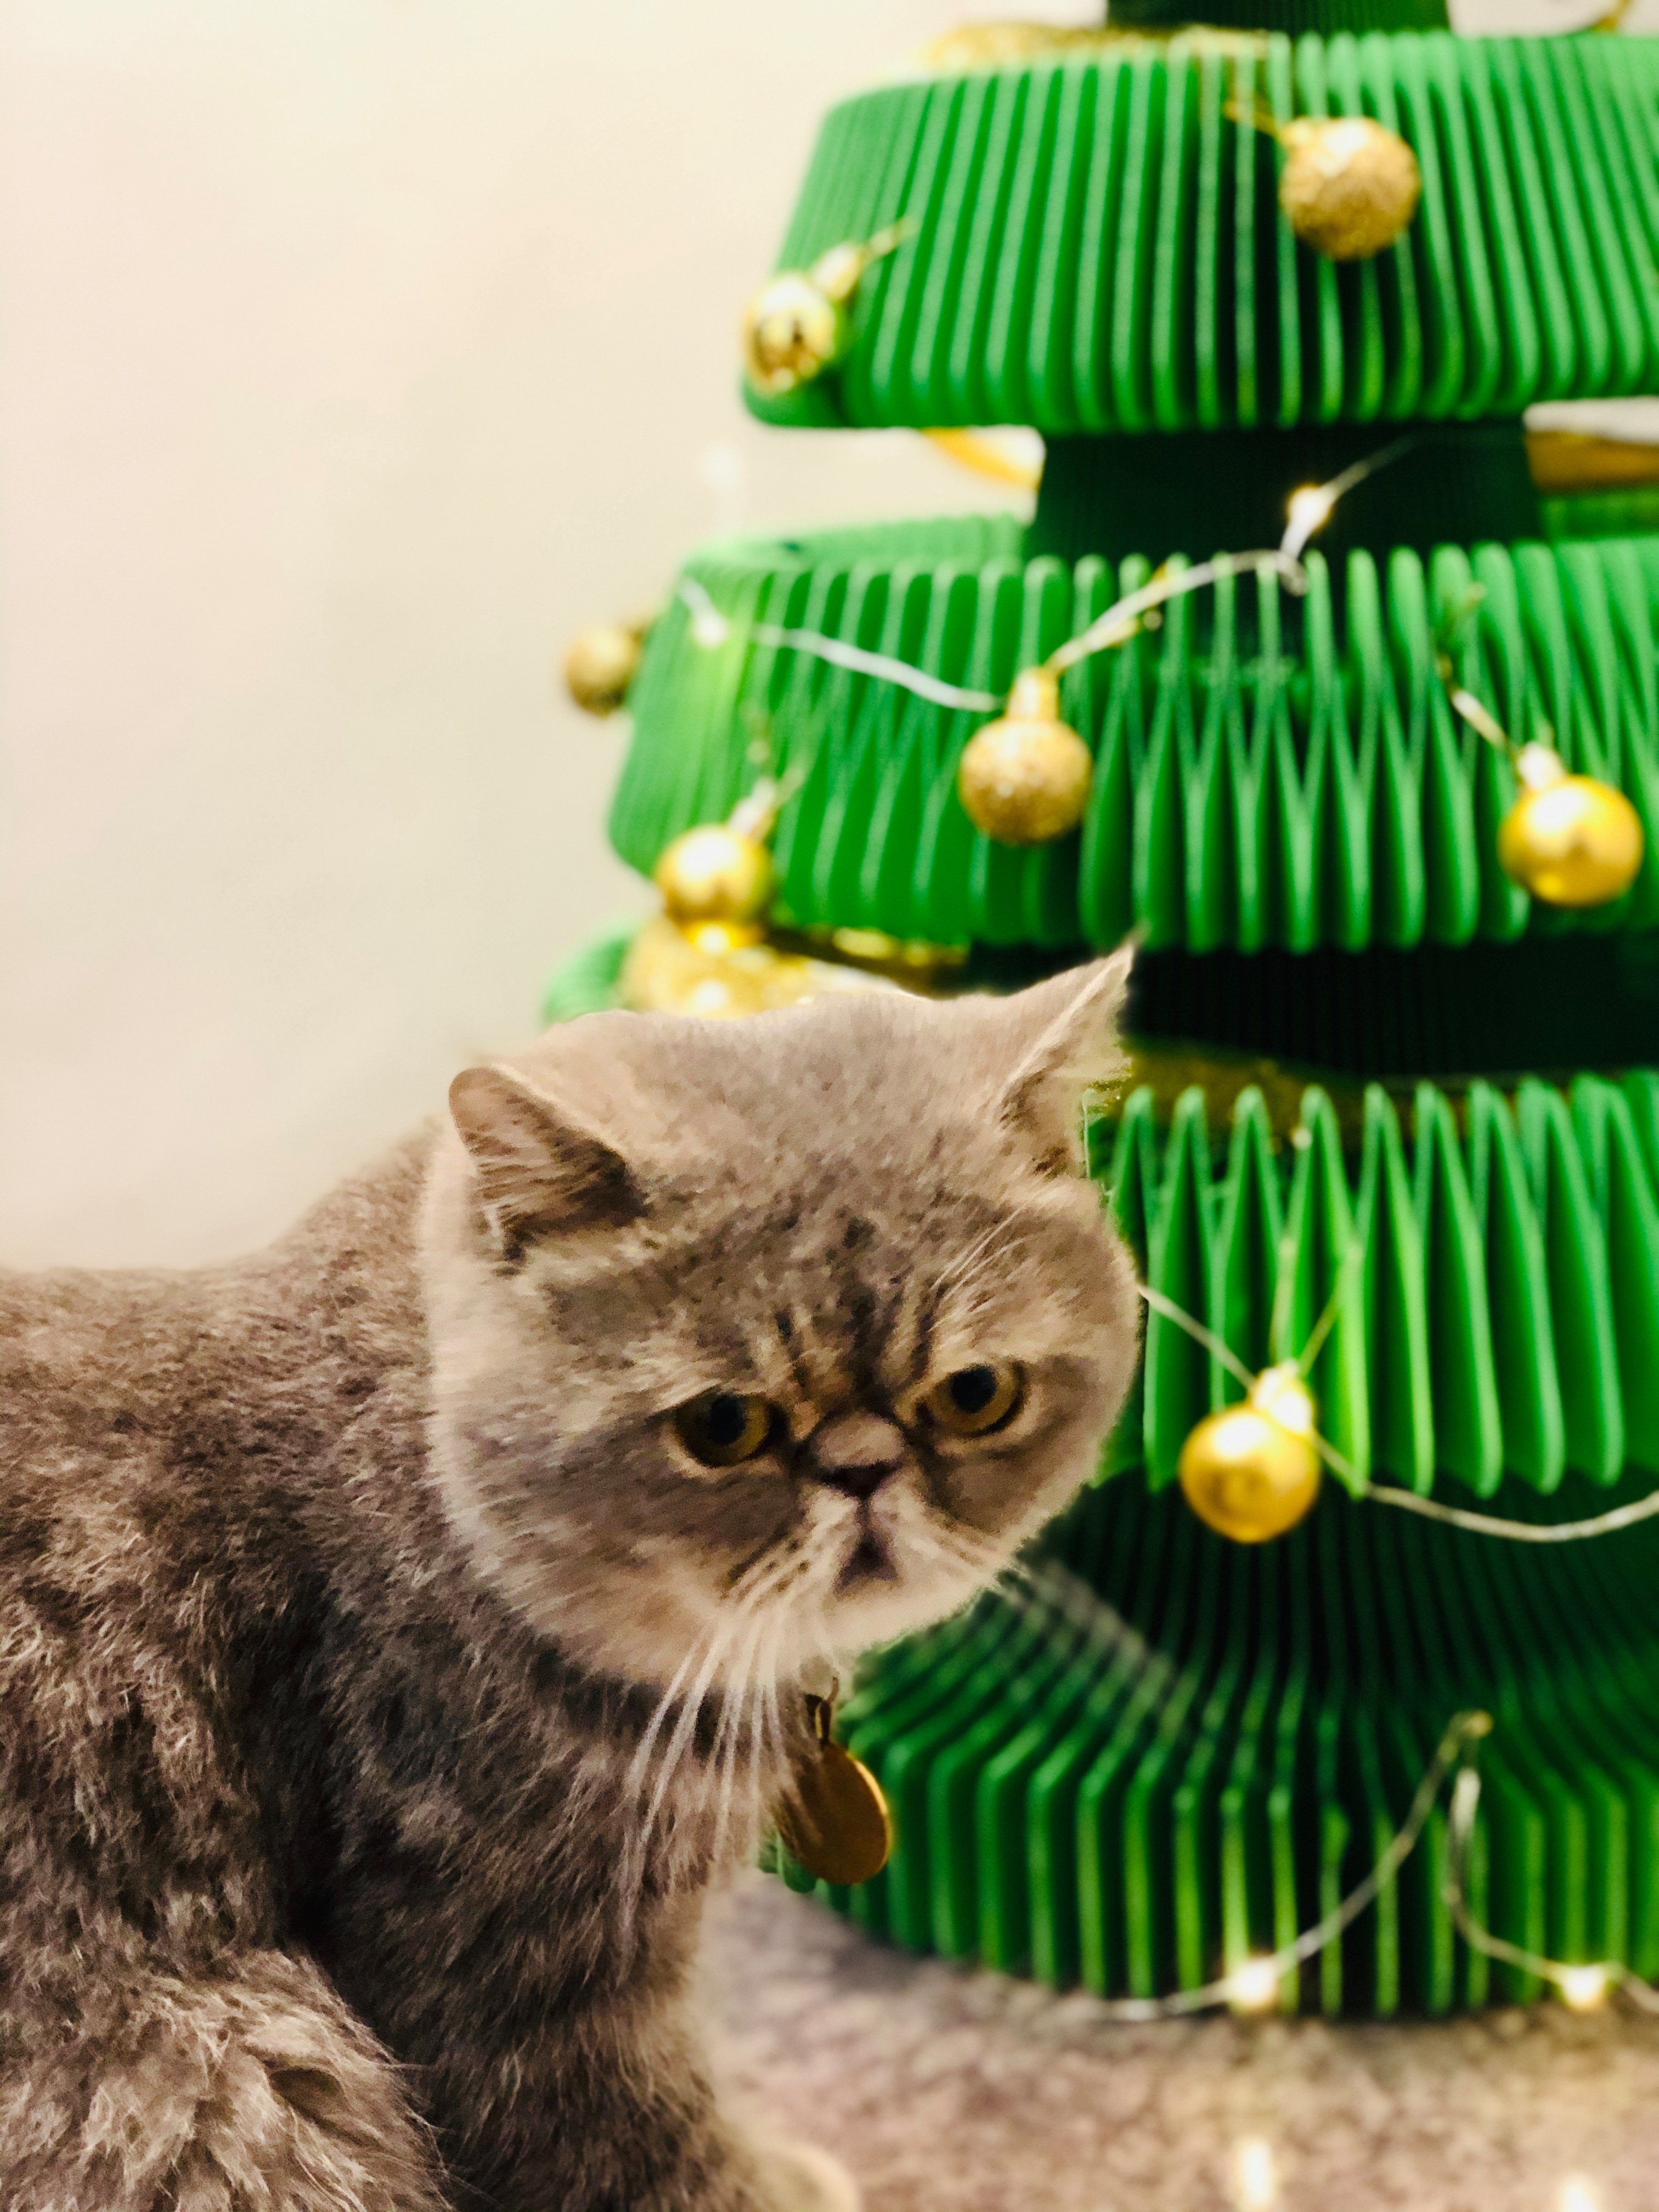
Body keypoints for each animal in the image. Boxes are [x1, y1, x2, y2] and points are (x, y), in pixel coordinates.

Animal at [0, 955, 1141, 2212]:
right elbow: (669, 2165)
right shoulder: (514, 1986)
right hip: (239, 2081)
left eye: (975, 1394)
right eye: (724, 1426)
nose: (862, 1469)